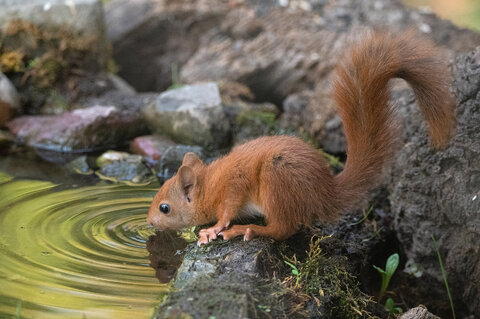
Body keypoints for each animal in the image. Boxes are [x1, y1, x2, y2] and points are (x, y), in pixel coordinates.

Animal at [147, 31, 458, 246]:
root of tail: (325, 193)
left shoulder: (233, 186)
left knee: (282, 229)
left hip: (276, 180)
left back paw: (247, 229)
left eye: (165, 208)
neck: (209, 182)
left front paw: (213, 229)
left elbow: (228, 210)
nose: (149, 222)